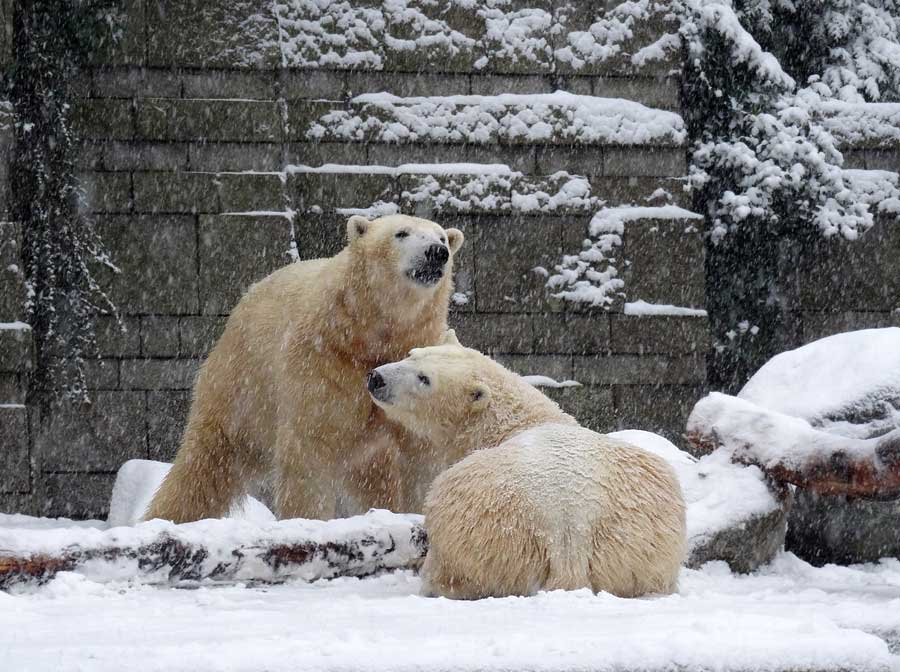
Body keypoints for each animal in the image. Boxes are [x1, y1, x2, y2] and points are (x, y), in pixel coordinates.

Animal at [146, 213, 464, 524]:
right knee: (205, 462)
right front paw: (308, 519)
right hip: (241, 389)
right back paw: (165, 518)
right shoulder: (323, 360)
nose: (437, 252)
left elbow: (420, 454)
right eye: (401, 233)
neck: (367, 334)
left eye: (441, 236)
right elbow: (310, 444)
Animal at [370, 334, 684, 600]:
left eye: (425, 379)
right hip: (638, 540)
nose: (377, 378)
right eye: (412, 354)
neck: (521, 420)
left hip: (484, 525)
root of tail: (568, 531)